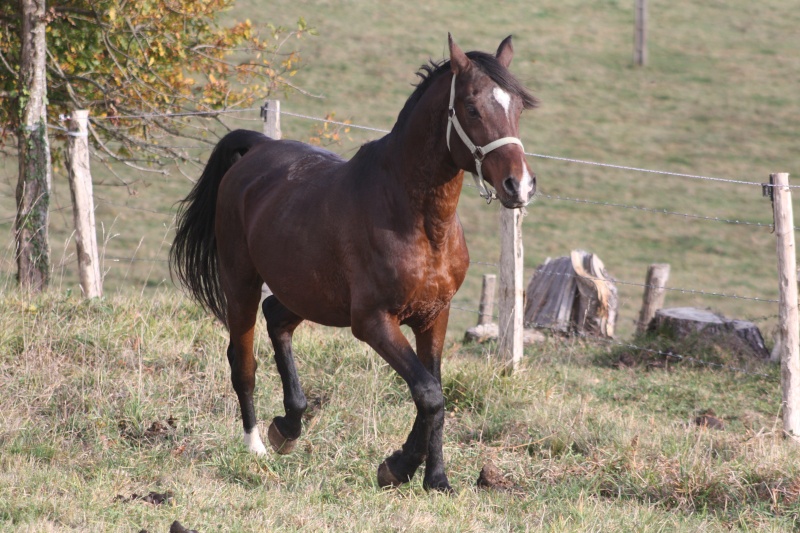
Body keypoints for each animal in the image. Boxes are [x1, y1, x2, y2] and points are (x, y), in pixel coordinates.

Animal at [172, 34, 540, 490]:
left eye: (518, 107)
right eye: (472, 107)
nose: (519, 185)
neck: (417, 221)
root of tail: (258, 148)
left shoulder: (435, 316)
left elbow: (434, 391)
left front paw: (435, 478)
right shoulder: (373, 322)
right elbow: (429, 394)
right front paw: (400, 466)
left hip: (305, 293)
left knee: (277, 318)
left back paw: (289, 426)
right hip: (239, 281)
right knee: (243, 361)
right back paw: (255, 445)